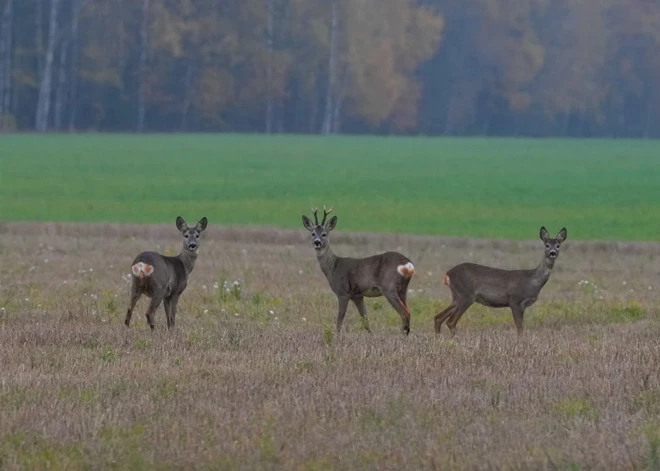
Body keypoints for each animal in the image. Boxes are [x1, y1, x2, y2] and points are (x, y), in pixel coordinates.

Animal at [302, 207, 416, 336]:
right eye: (312, 233)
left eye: (324, 234)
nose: (317, 242)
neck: (333, 267)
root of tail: (408, 264)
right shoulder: (358, 295)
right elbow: (365, 320)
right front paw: (372, 336)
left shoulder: (343, 293)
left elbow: (339, 320)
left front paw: (337, 336)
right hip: (403, 289)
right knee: (407, 312)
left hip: (388, 287)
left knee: (405, 313)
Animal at [434, 227, 568, 338]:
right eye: (547, 245)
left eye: (558, 245)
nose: (552, 253)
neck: (533, 281)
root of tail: (447, 274)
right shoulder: (515, 301)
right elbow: (520, 328)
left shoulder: (522, 305)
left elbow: (521, 327)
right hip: (466, 295)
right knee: (450, 321)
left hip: (457, 296)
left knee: (438, 317)